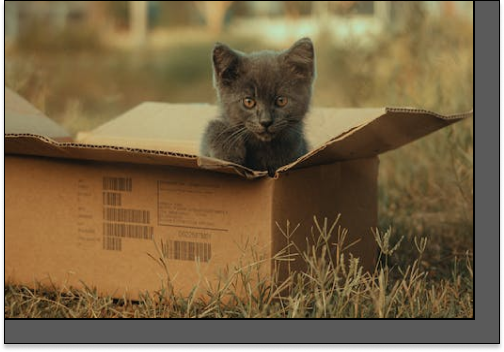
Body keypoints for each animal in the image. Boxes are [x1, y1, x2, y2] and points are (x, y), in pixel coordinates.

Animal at [200, 38, 316, 176]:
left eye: (281, 101)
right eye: (249, 102)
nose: (266, 122)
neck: (264, 147)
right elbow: (213, 126)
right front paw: (228, 154)